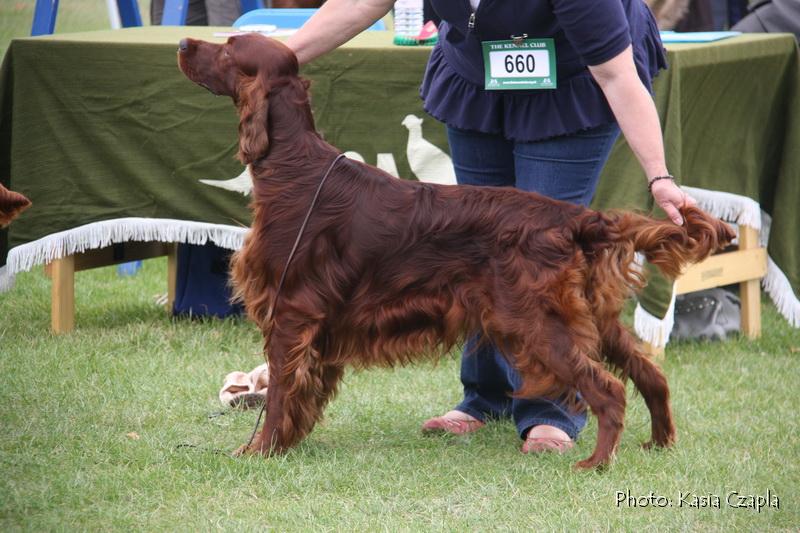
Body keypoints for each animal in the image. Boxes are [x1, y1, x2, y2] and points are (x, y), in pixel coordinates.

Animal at [178, 33, 736, 468]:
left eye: (228, 48)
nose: (183, 44)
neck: (294, 167)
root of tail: (573, 218)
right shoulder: (314, 324)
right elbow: (299, 395)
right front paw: (287, 444)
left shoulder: (291, 312)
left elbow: (277, 395)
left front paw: (258, 451)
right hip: (591, 317)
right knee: (651, 375)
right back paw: (659, 443)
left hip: (535, 323)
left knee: (609, 389)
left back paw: (596, 463)